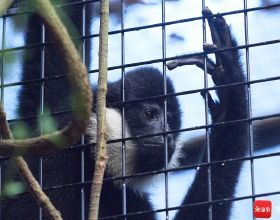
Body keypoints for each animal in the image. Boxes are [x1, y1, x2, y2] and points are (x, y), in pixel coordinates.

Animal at [1, 2, 247, 220]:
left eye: (170, 122)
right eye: (150, 114)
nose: (167, 135)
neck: (87, 153)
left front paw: (230, 99)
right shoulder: (56, 155)